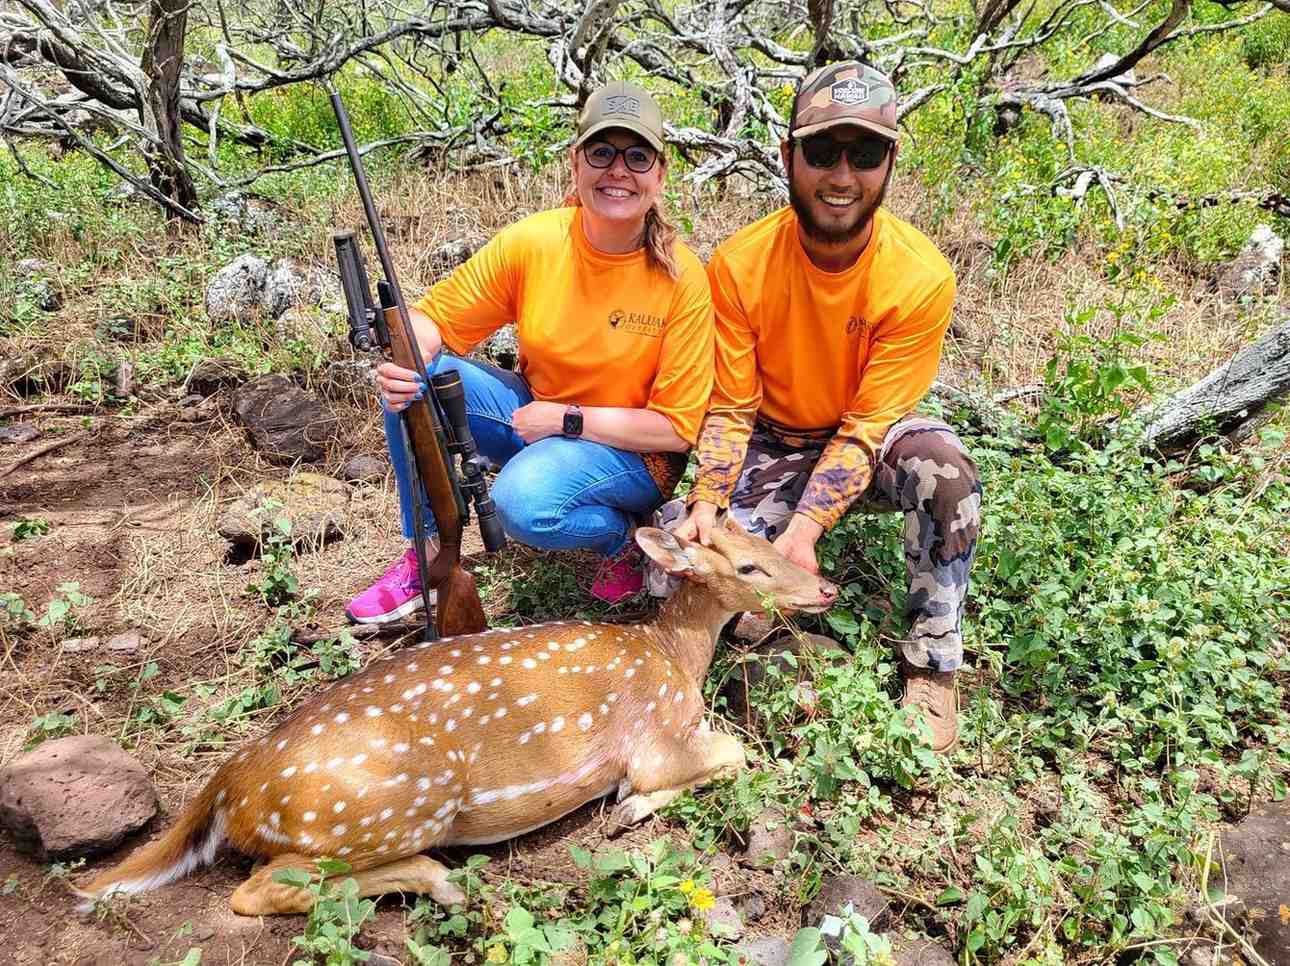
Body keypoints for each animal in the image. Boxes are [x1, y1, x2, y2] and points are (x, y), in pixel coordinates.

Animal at [77, 518, 837, 915]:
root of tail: (228, 785)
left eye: (771, 543)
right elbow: (733, 753)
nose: (825, 587)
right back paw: (437, 880)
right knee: (257, 890)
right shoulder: (654, 735)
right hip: (394, 803)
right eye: (749, 566)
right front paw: (628, 807)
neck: (675, 656)